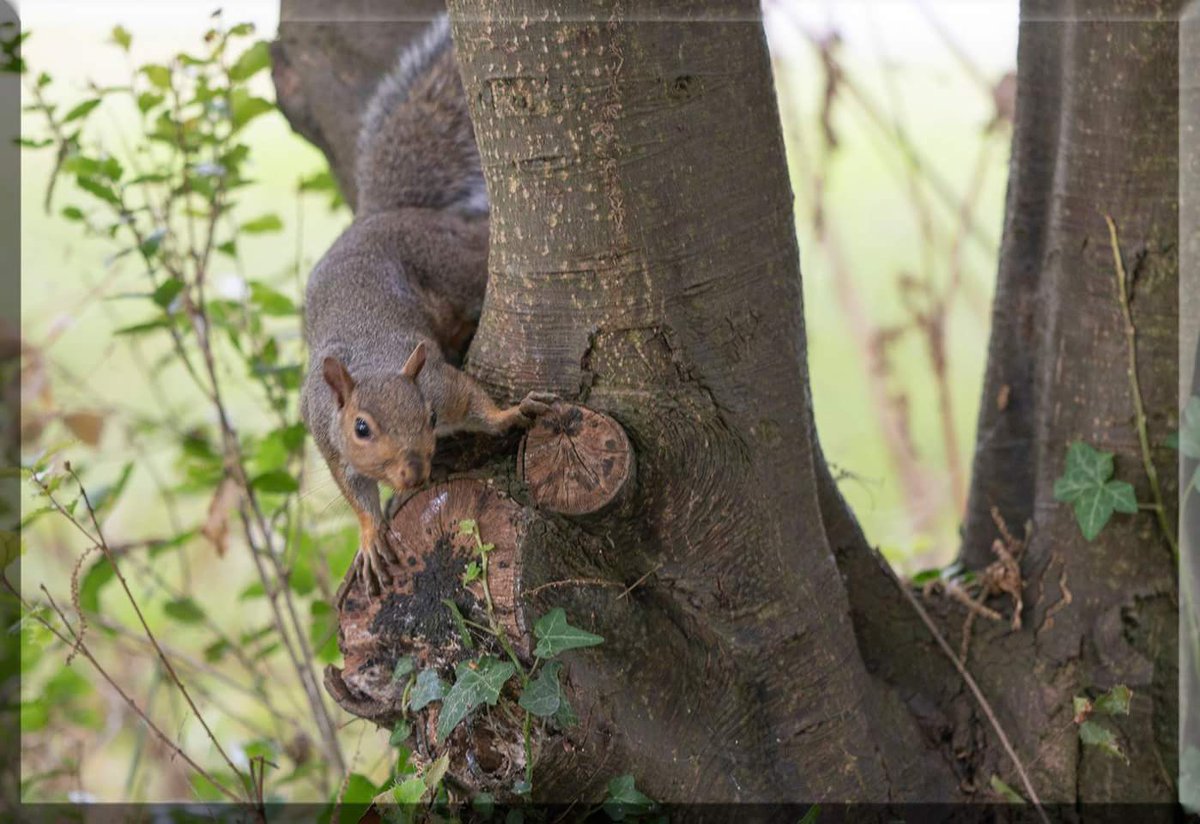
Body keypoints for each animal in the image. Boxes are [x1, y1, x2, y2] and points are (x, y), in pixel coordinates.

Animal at [300, 15, 556, 598]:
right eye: (361, 429)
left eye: (430, 416)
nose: (415, 474)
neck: (374, 360)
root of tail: (387, 214)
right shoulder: (325, 431)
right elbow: (352, 489)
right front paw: (372, 536)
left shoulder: (439, 380)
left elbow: (475, 400)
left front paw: (511, 413)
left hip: (457, 267)